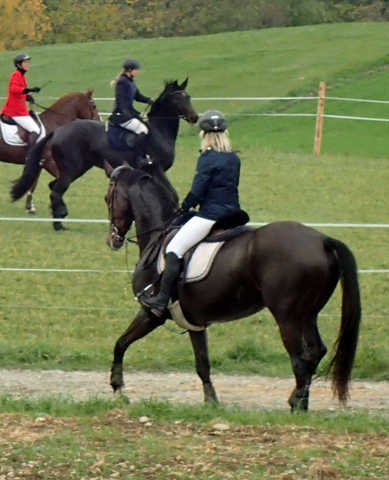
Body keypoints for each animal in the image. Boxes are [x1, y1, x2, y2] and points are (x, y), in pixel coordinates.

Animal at [9, 79, 197, 231]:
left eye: (188, 97)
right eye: (177, 98)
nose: (194, 117)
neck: (158, 132)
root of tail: (58, 131)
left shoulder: (151, 172)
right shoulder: (156, 168)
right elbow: (172, 194)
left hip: (78, 168)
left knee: (53, 186)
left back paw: (59, 216)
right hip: (72, 170)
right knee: (56, 191)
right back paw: (59, 224)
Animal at [103, 166, 360, 412]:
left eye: (107, 198)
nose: (112, 240)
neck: (160, 232)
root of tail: (323, 240)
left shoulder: (151, 314)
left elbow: (120, 343)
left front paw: (118, 389)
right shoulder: (194, 322)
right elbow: (202, 363)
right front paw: (211, 401)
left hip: (288, 317)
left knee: (301, 358)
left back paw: (296, 404)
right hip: (308, 314)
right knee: (315, 351)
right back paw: (301, 402)